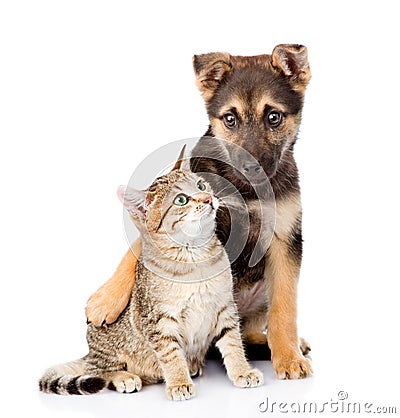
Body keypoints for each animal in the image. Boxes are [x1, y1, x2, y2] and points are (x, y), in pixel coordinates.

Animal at [39, 149, 264, 400]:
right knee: (100, 371)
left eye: (201, 185)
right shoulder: (159, 321)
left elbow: (233, 344)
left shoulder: (225, 308)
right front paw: (178, 383)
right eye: (181, 199)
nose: (208, 199)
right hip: (104, 347)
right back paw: (124, 377)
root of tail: (89, 354)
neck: (195, 259)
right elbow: (171, 355)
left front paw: (242, 371)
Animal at [86, 44, 312, 380]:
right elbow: (137, 249)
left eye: (274, 117)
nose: (251, 168)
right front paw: (106, 300)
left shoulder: (285, 239)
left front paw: (288, 357)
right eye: (230, 119)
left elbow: (285, 308)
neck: (246, 191)